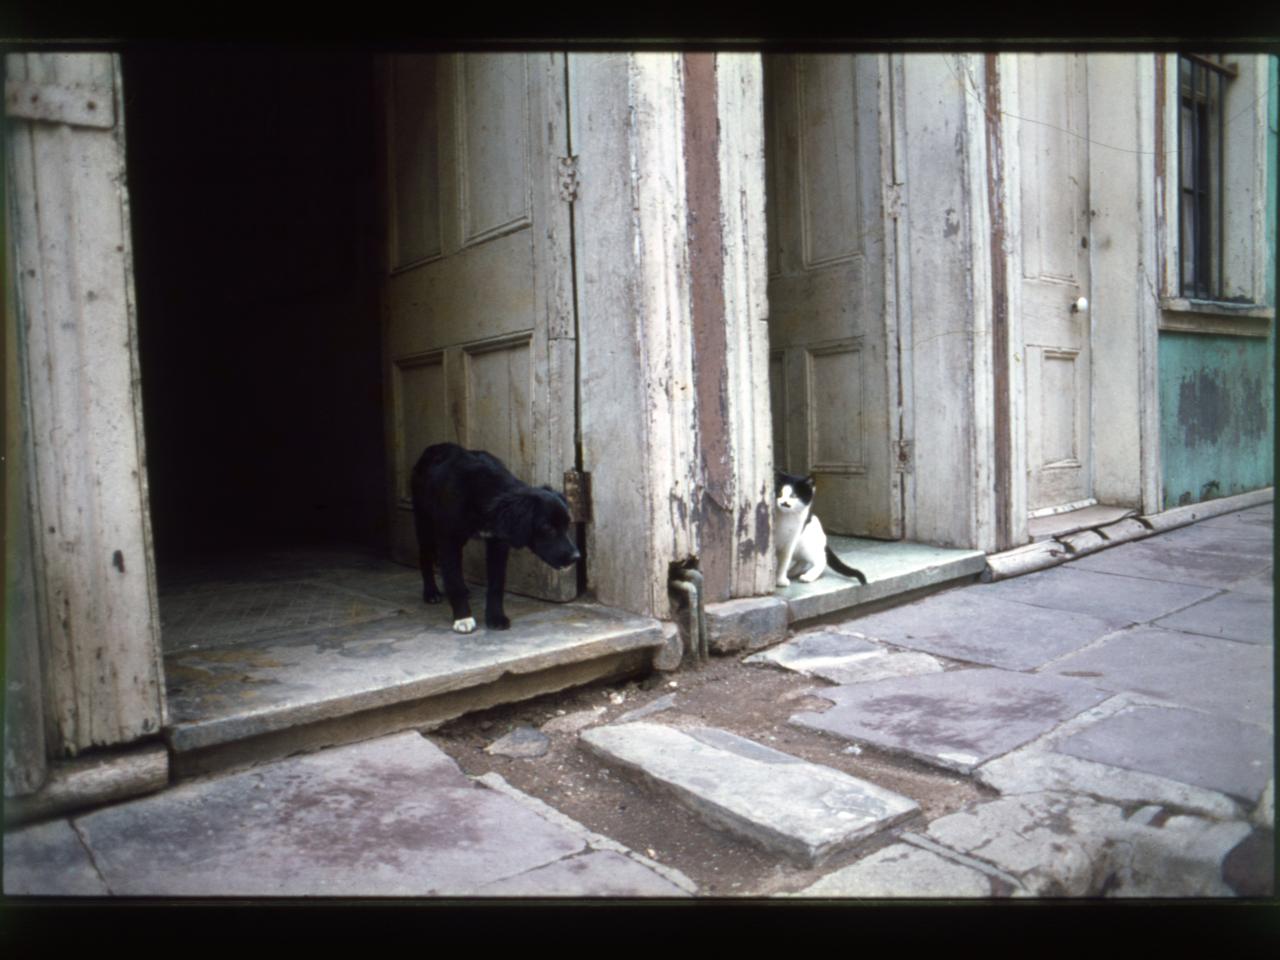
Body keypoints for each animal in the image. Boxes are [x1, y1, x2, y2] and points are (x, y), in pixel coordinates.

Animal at [409, 448, 581, 634]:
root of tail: (432, 449)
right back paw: (431, 592)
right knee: (425, 556)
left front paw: (496, 618)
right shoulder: (448, 539)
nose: (576, 557)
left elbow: (496, 584)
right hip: (424, 522)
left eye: (567, 524)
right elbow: (453, 580)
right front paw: (463, 617)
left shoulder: (498, 542)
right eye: (548, 527)